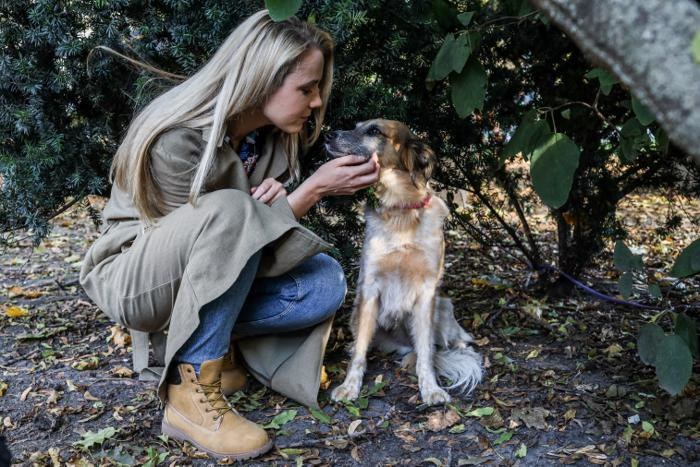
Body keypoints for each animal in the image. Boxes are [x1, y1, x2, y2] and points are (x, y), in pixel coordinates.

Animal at [326, 119, 484, 406]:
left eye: (374, 130)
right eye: (356, 125)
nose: (328, 135)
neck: (400, 209)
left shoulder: (427, 291)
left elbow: (426, 352)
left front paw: (430, 388)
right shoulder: (369, 288)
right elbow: (360, 352)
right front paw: (350, 386)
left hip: (443, 304)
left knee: (447, 341)